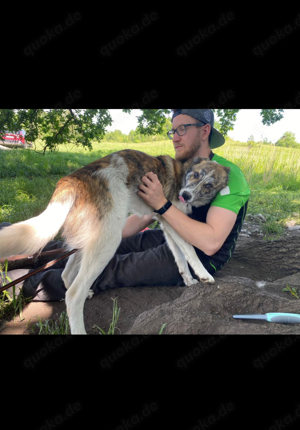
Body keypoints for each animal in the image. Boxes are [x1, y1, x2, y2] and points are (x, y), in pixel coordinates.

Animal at [0, 149, 230, 334]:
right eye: (196, 175)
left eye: (209, 185)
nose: (185, 195)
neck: (182, 175)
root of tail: (72, 179)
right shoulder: (172, 223)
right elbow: (190, 251)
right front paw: (204, 275)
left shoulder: (168, 225)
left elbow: (181, 257)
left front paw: (189, 281)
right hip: (108, 240)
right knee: (73, 294)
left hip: (90, 240)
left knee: (66, 275)